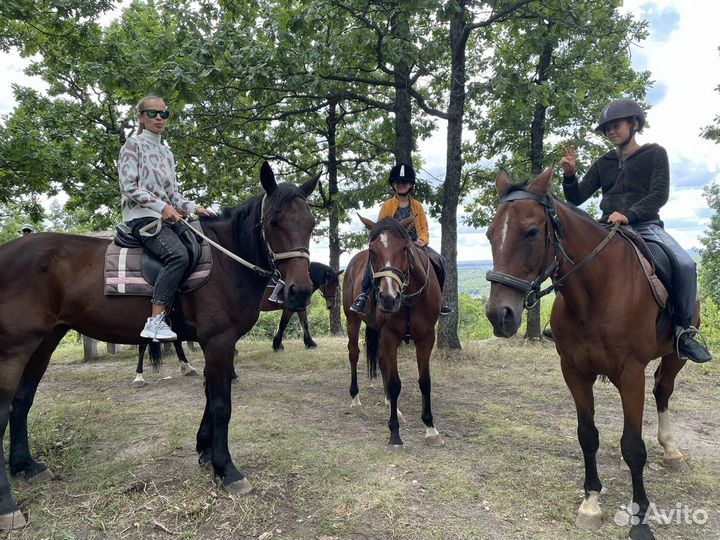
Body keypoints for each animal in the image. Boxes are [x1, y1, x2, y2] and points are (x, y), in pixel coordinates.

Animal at [0, 161, 318, 532]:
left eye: (311, 224)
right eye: (274, 222)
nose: (299, 291)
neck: (227, 262)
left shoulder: (215, 344)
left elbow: (210, 395)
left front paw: (205, 451)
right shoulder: (219, 341)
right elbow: (221, 404)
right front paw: (227, 470)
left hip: (44, 341)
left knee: (22, 402)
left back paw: (26, 466)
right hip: (15, 348)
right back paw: (7, 505)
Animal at [342, 215, 444, 448]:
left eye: (405, 248)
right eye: (372, 250)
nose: (389, 298)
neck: (408, 299)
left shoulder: (426, 337)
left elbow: (425, 381)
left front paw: (431, 429)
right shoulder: (390, 335)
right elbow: (396, 382)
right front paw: (395, 433)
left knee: (381, 361)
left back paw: (392, 406)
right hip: (352, 320)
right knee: (354, 354)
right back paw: (356, 400)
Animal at [486, 168, 696, 540]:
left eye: (531, 231)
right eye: (489, 234)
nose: (500, 315)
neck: (597, 292)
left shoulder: (631, 374)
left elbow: (633, 446)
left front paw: (640, 519)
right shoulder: (573, 371)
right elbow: (588, 436)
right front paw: (591, 502)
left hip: (676, 356)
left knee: (663, 391)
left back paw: (671, 450)